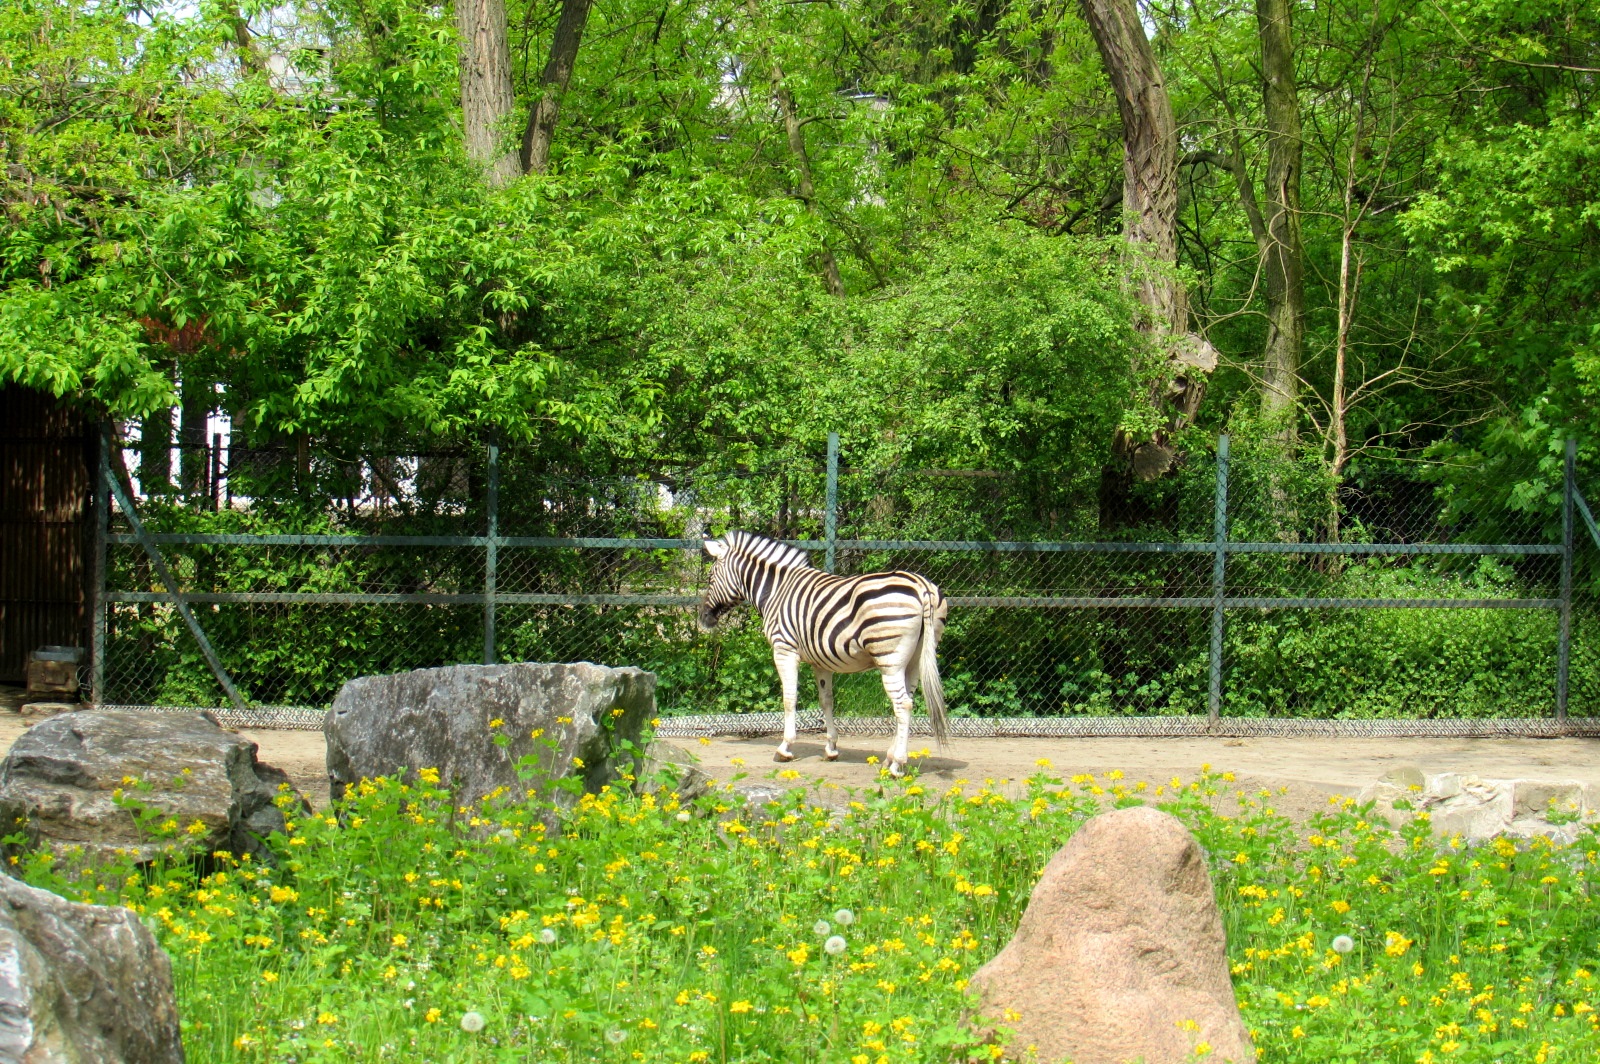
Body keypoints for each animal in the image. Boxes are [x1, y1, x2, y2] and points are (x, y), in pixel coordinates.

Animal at [697, 530, 950, 776]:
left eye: (710, 578)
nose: (703, 619)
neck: (777, 590)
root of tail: (922, 587)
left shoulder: (784, 649)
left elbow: (789, 699)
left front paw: (785, 748)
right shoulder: (821, 661)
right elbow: (826, 700)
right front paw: (831, 748)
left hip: (889, 657)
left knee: (902, 705)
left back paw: (897, 765)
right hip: (916, 658)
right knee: (909, 700)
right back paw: (889, 759)